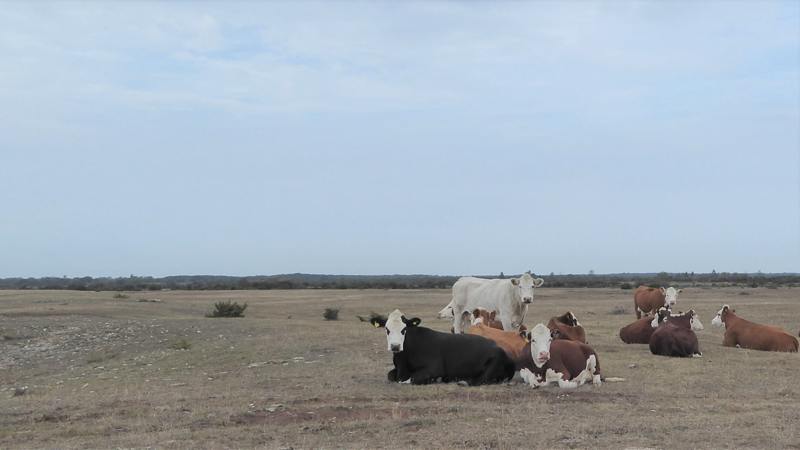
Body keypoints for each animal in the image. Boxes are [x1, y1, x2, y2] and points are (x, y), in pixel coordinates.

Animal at [370, 310, 516, 386]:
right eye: (387, 329)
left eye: (404, 329)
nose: (395, 346)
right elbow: (390, 375)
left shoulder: (434, 368)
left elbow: (411, 379)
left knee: (479, 380)